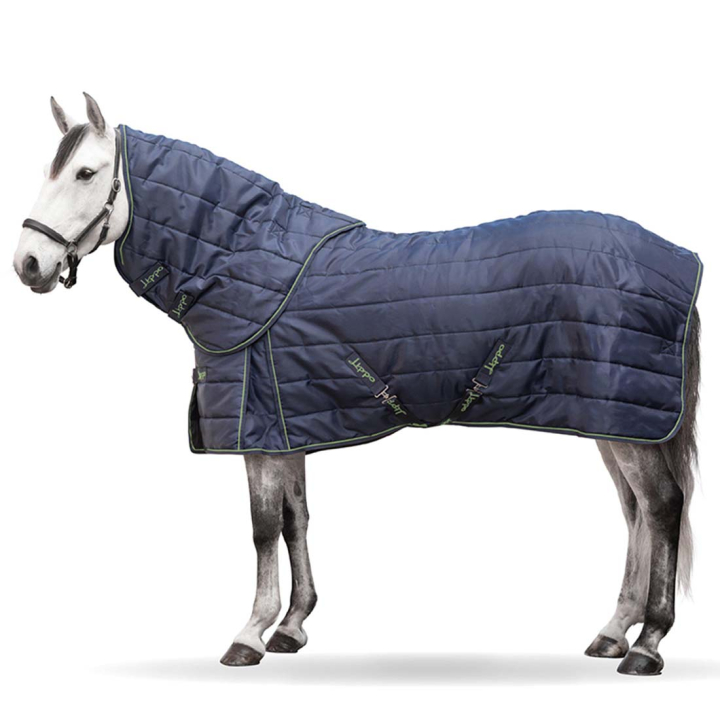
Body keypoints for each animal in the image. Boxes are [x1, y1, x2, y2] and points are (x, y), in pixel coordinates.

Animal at [13, 94, 701, 675]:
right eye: (52, 170)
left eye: (85, 173)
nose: (28, 264)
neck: (242, 262)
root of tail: (680, 261)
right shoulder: (285, 425)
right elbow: (295, 520)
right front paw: (291, 628)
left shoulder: (256, 433)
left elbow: (262, 528)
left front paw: (249, 634)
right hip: (610, 418)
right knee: (636, 512)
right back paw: (613, 632)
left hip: (628, 421)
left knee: (662, 506)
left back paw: (647, 645)